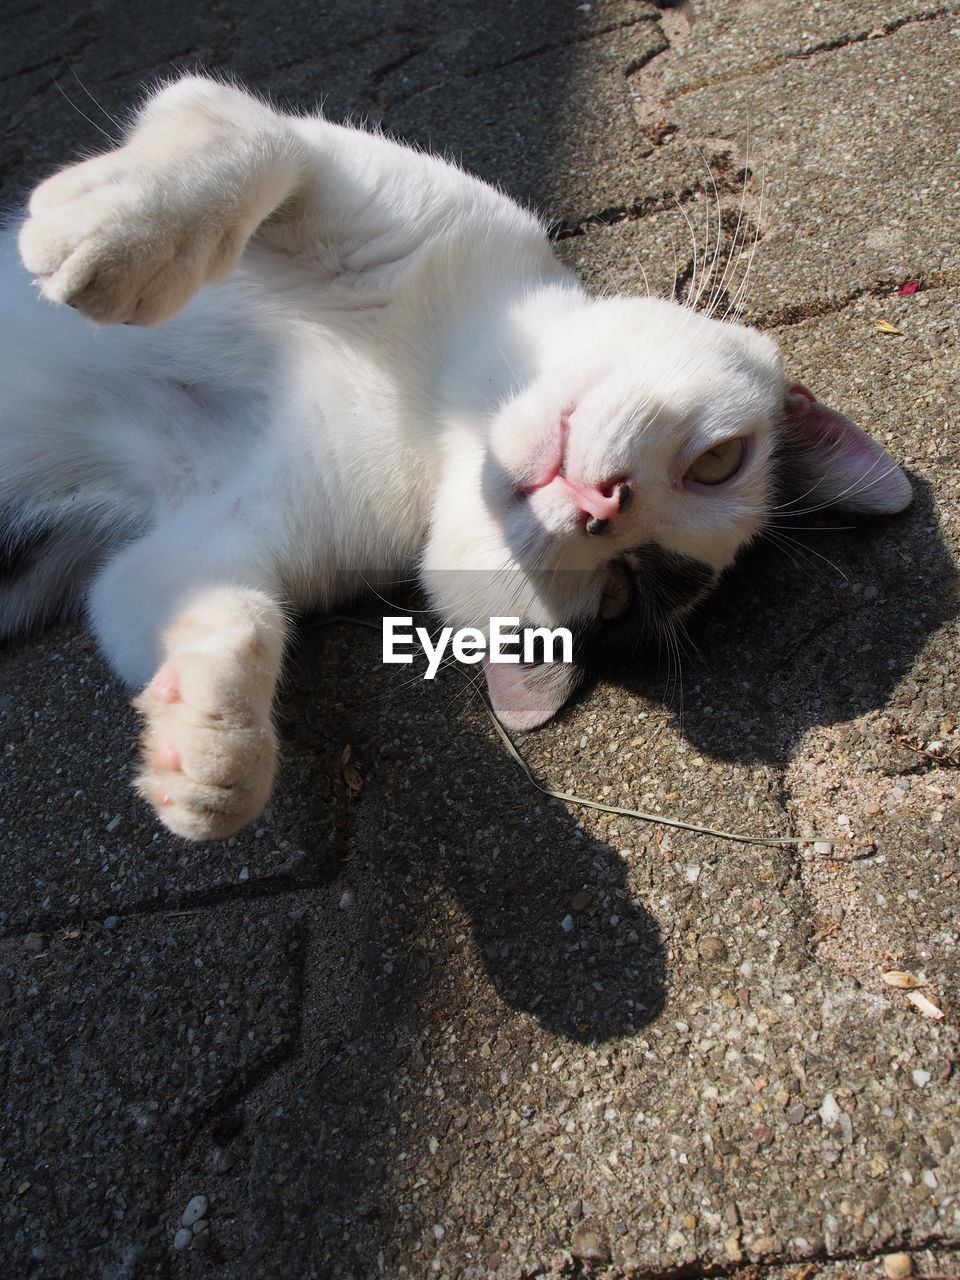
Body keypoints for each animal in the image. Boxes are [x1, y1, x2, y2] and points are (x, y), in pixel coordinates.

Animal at [0, 77, 911, 839]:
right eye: (721, 462)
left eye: (612, 593)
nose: (601, 506)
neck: (445, 409)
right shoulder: (371, 194)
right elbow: (242, 132)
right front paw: (103, 240)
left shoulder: (214, 534)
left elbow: (212, 605)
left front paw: (213, 751)